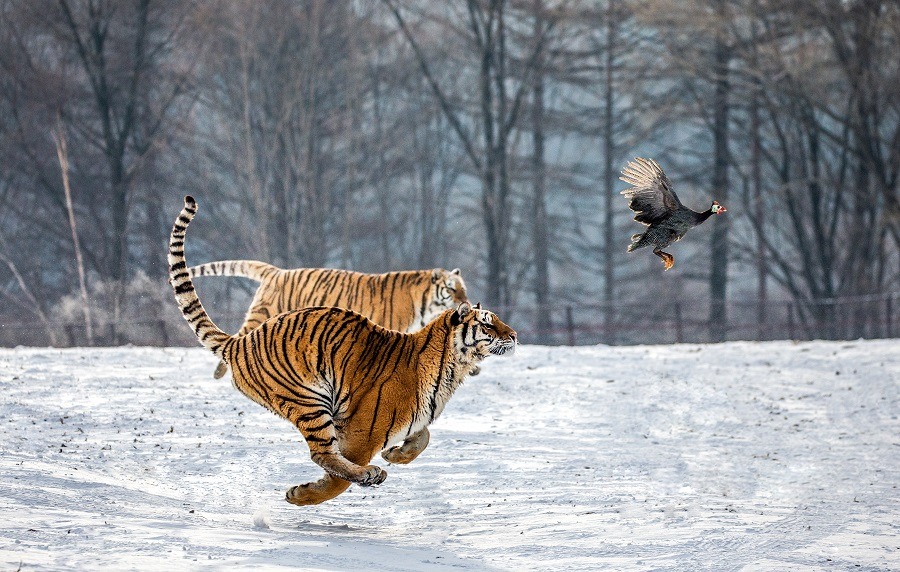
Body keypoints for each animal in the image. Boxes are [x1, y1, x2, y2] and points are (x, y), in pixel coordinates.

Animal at [190, 258, 472, 376]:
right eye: (451, 289)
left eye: (463, 288)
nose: (467, 303)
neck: (425, 304)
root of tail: (276, 271)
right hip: (261, 315)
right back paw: (219, 372)